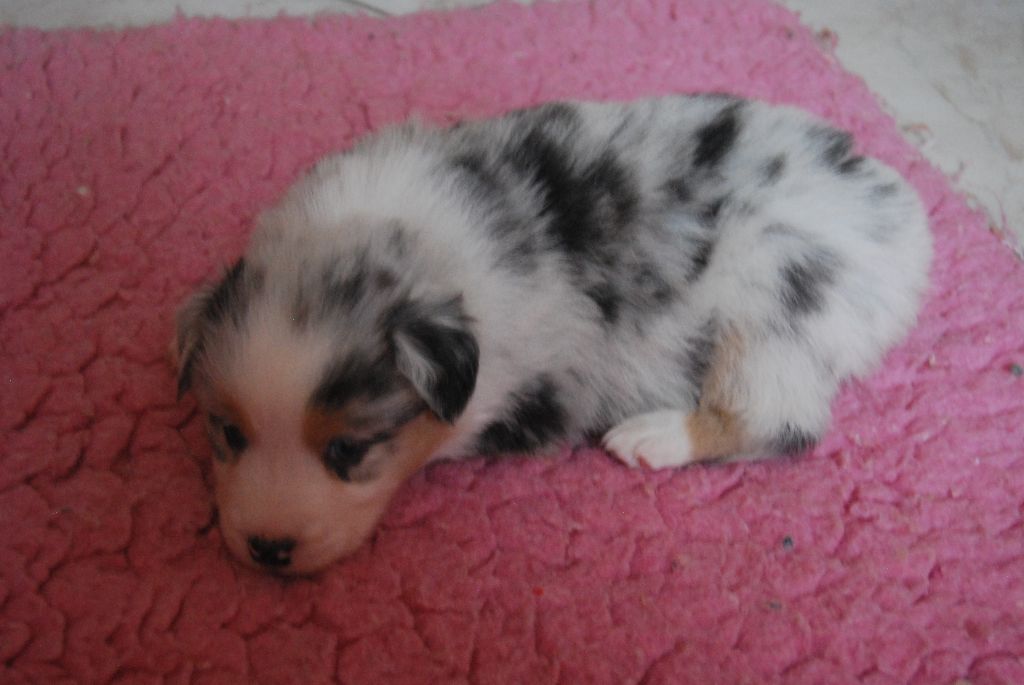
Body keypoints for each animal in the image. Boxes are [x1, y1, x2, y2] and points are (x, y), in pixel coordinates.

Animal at [174, 95, 932, 574]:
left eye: (349, 449)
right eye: (227, 432)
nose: (267, 548)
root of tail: (905, 229)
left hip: (774, 292)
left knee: (779, 419)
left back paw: (653, 435)